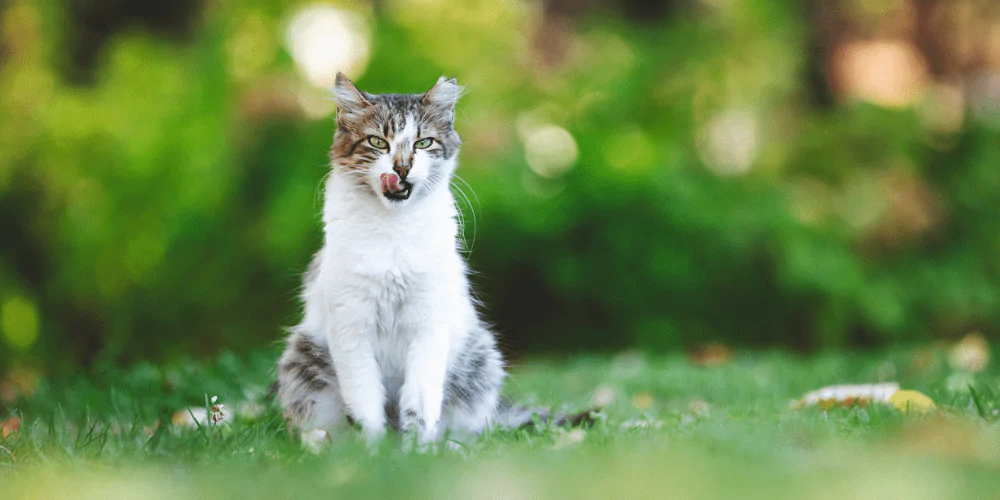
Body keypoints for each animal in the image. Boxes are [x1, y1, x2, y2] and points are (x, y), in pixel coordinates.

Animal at [272, 72, 580, 444]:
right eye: (377, 142)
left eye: (423, 143)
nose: (402, 168)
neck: (393, 228)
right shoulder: (351, 324)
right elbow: (365, 401)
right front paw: (373, 450)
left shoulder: (428, 323)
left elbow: (419, 400)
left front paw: (415, 450)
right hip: (302, 358)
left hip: (480, 357)